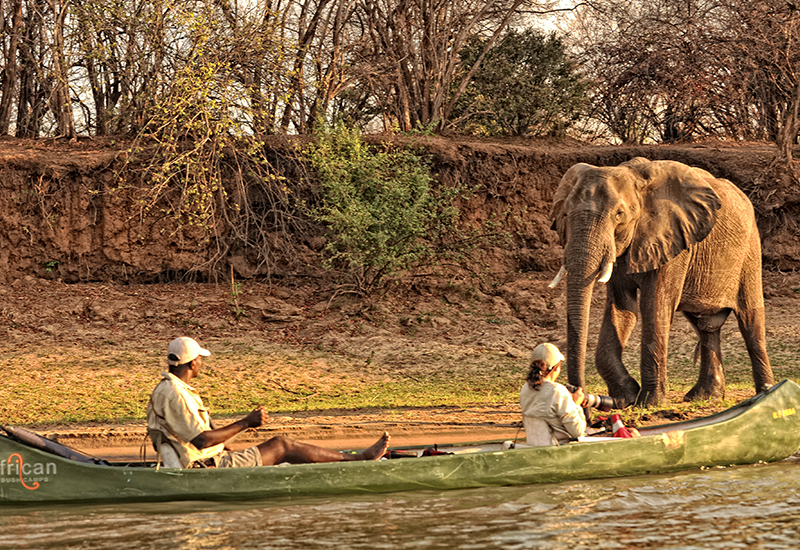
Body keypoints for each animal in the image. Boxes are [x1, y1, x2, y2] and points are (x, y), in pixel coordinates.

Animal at [548, 157, 772, 408]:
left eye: (619, 215)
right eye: (565, 215)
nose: (579, 398)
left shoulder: (672, 241)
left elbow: (654, 307)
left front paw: (650, 403)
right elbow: (622, 308)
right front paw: (626, 397)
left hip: (749, 251)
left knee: (750, 320)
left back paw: (766, 392)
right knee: (705, 326)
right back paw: (704, 396)